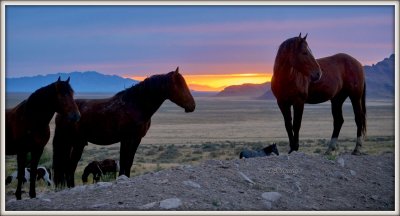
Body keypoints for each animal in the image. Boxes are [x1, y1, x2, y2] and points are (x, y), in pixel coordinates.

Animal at [54, 67, 196, 187]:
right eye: (180, 85)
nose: (192, 105)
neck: (135, 105)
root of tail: (61, 114)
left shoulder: (136, 139)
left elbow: (129, 162)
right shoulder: (126, 139)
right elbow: (124, 162)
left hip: (71, 143)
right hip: (77, 143)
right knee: (70, 167)